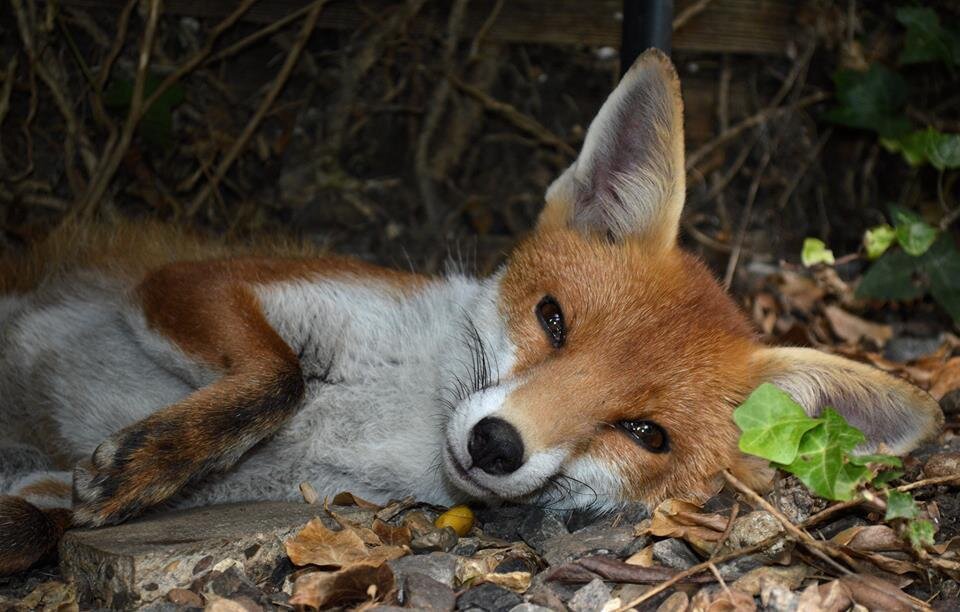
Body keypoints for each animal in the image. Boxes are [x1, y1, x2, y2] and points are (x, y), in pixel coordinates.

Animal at [0, 50, 944, 575]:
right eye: (553, 320)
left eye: (645, 434)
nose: (496, 445)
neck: (381, 419)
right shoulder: (192, 281)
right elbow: (277, 374)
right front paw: (151, 458)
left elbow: (36, 519)